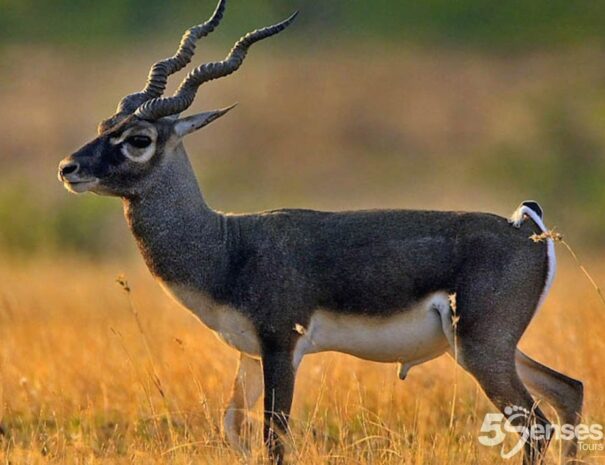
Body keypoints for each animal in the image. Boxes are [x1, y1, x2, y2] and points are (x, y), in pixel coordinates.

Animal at [57, 1, 580, 462]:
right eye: (104, 125)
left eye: (138, 139)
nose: (68, 168)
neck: (227, 247)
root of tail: (526, 226)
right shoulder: (249, 356)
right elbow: (232, 428)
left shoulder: (281, 346)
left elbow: (273, 437)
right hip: (491, 348)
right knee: (568, 390)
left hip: (481, 348)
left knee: (537, 424)